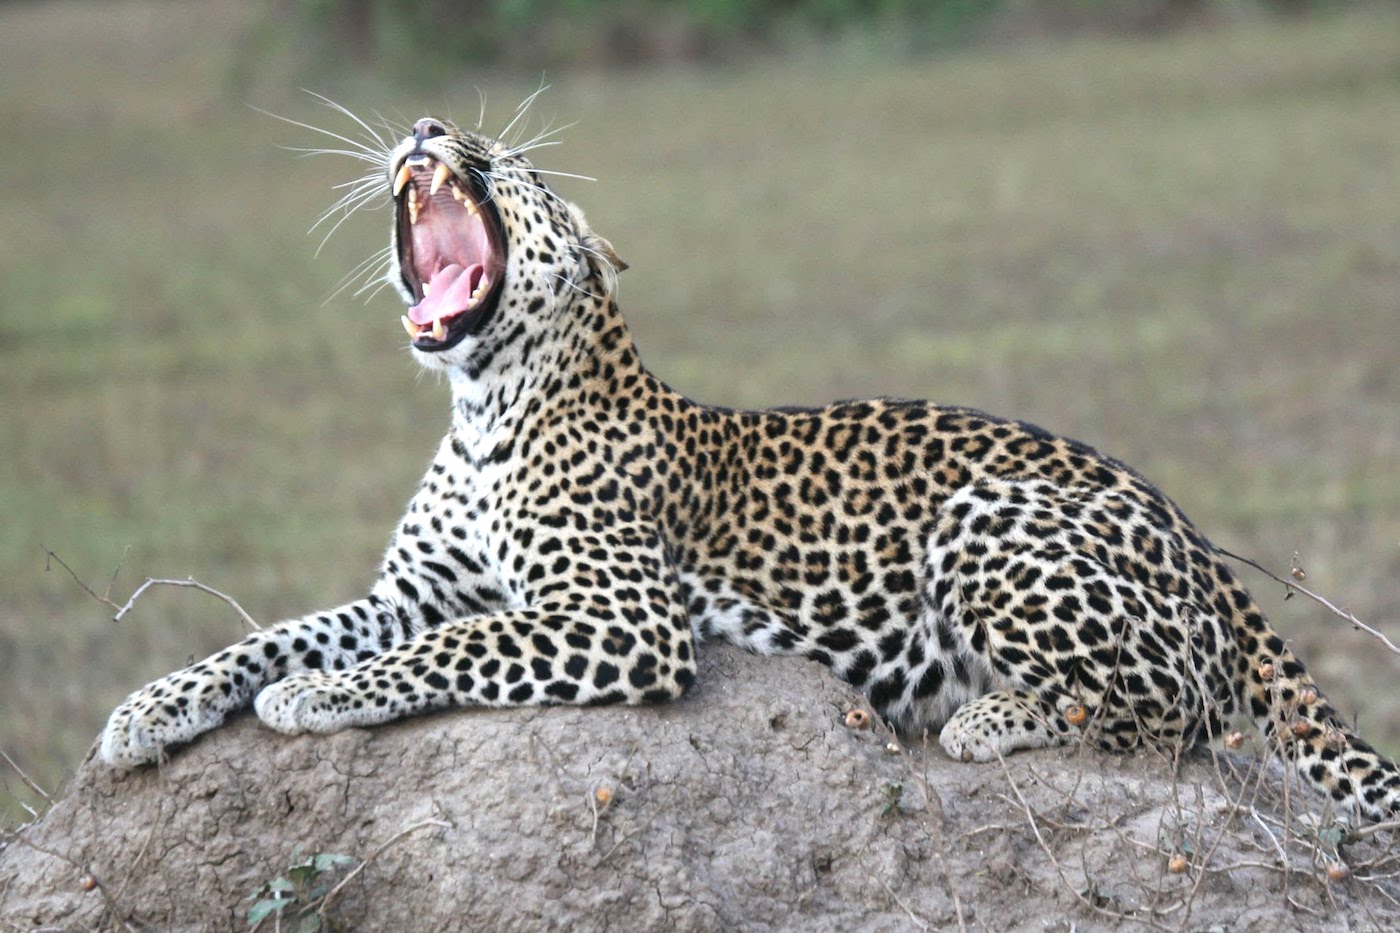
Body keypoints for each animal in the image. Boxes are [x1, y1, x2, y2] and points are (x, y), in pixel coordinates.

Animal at [99, 111, 1400, 823]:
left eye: (514, 159)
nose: (427, 129)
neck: (480, 406)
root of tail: (1188, 529)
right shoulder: (407, 591)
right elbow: (277, 632)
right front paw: (148, 709)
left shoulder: (621, 614)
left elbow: (450, 647)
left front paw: (317, 699)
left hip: (987, 519)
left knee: (1176, 713)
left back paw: (992, 719)